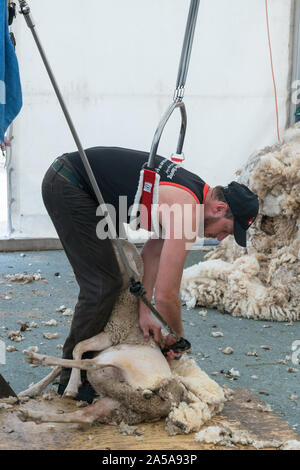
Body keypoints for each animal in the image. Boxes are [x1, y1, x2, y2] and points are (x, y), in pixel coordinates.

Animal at [17, 241, 225, 436]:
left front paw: (70, 385)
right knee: (85, 416)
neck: (126, 301)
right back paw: (30, 415)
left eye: (119, 256)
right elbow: (64, 362)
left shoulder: (110, 335)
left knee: (89, 365)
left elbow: (77, 348)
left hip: (114, 363)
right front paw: (31, 390)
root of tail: (160, 397)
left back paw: (38, 360)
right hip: (113, 399)